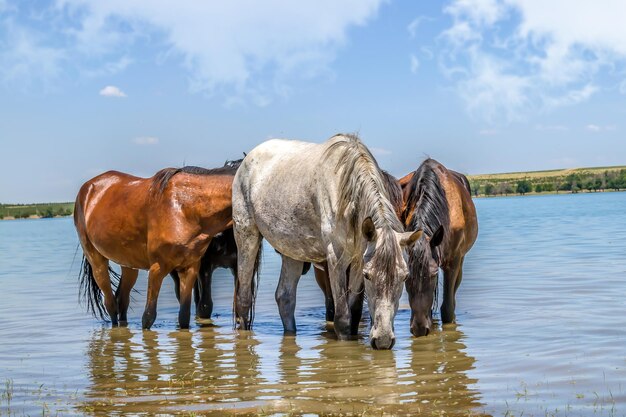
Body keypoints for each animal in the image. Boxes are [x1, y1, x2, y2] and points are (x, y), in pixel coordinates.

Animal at [74, 160, 245, 328]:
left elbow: (184, 317)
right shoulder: (157, 268)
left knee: (121, 301)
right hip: (97, 262)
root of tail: (87, 189)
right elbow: (148, 317)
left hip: (129, 265)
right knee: (110, 305)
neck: (186, 207)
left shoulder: (189, 268)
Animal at [229, 135, 420, 350]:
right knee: (244, 298)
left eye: (404, 277)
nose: (384, 340)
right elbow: (342, 318)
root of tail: (248, 159)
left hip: (291, 250)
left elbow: (355, 312)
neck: (347, 195)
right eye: (368, 276)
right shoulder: (336, 259)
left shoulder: (357, 259)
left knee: (285, 298)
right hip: (247, 236)